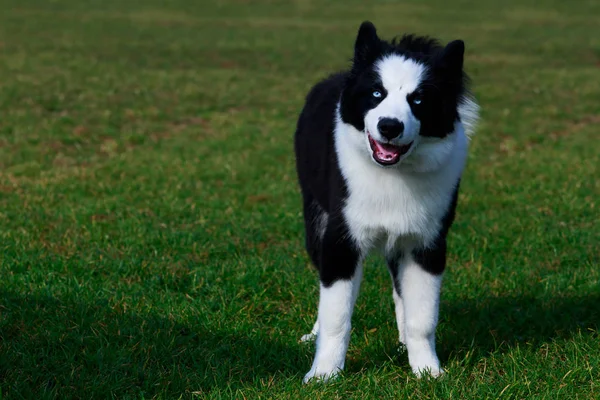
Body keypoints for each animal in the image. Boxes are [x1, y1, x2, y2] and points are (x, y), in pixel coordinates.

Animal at [294, 20, 478, 382]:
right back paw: (313, 335)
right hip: (315, 223)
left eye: (418, 99)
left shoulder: (426, 243)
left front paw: (427, 371)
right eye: (377, 94)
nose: (390, 126)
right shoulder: (340, 240)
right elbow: (336, 315)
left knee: (399, 288)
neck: (393, 174)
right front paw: (323, 375)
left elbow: (422, 316)